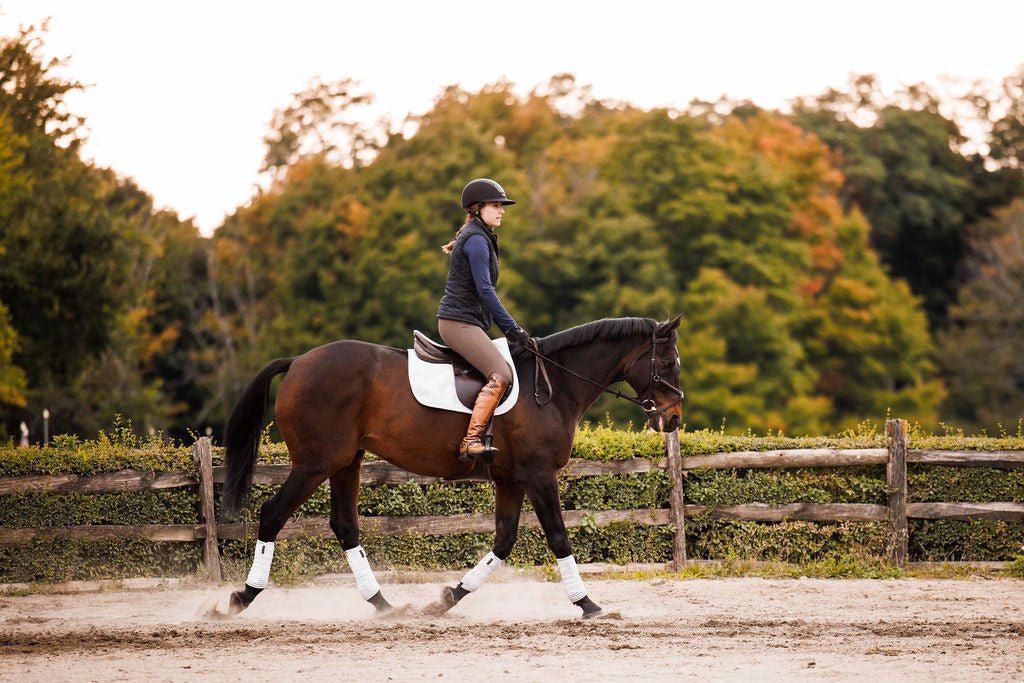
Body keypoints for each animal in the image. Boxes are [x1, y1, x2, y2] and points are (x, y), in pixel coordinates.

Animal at [220, 315, 684, 619]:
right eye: (668, 364)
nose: (675, 418)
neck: (555, 384)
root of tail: (298, 361)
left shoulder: (511, 480)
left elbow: (503, 542)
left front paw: (446, 598)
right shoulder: (539, 475)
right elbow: (558, 537)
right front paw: (588, 605)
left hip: (345, 462)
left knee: (344, 525)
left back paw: (383, 604)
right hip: (315, 463)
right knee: (272, 515)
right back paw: (242, 597)